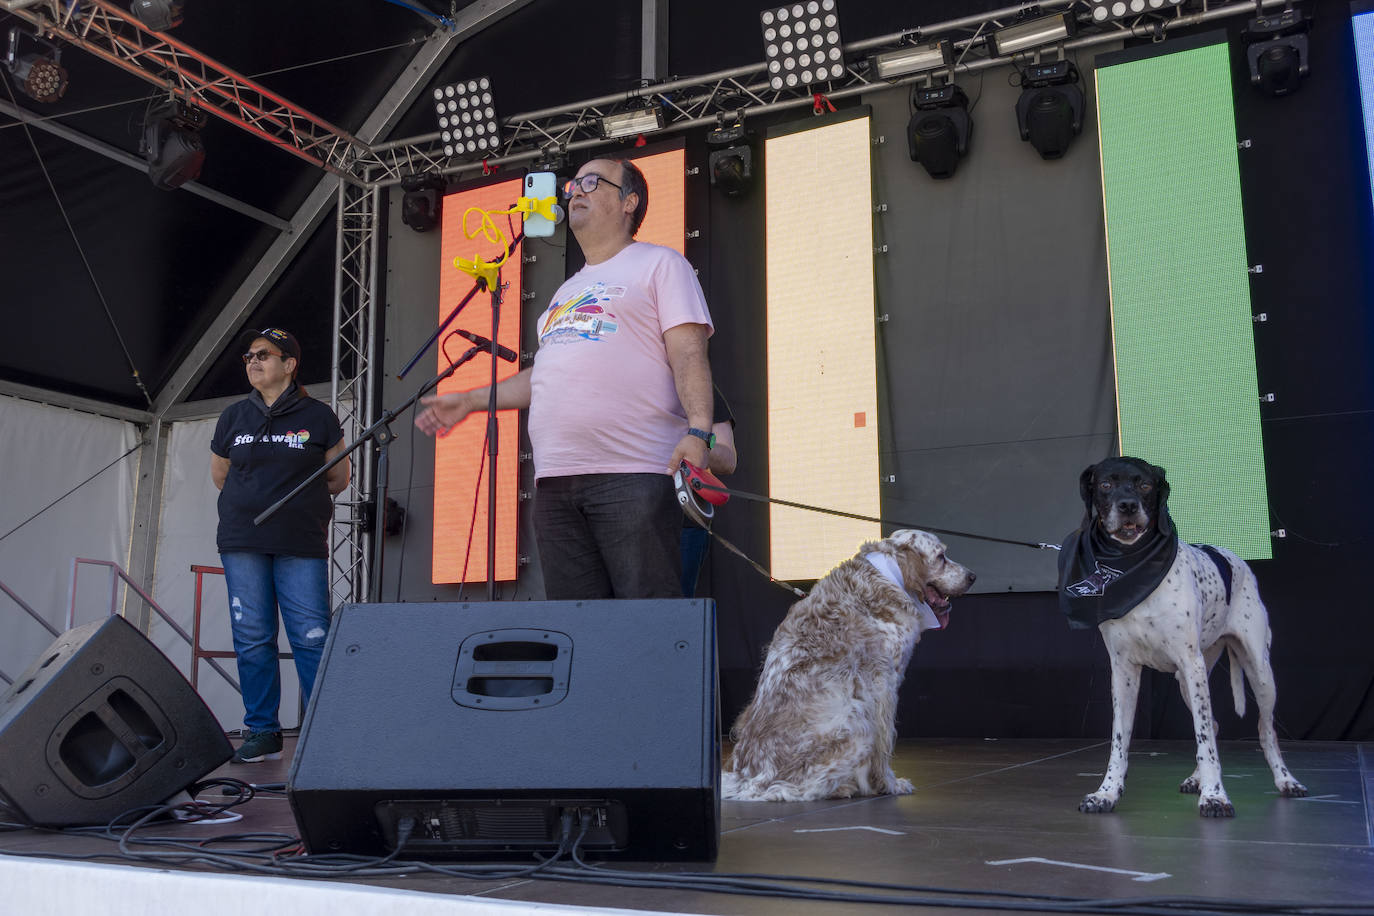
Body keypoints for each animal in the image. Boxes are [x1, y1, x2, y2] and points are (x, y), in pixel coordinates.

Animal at [719, 530, 978, 802]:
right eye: (941, 556)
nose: (973, 576)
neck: (889, 576)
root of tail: (746, 778)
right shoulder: (883, 686)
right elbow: (884, 745)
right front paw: (889, 784)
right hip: (856, 722)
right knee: (789, 790)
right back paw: (841, 788)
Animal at [1060, 458, 1308, 818]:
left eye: (1145, 485)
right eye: (1105, 485)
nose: (1128, 506)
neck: (1134, 569)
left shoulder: (1192, 666)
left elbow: (1204, 738)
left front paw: (1215, 796)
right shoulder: (1124, 672)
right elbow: (1119, 741)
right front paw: (1106, 792)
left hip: (1258, 672)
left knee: (1265, 731)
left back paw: (1285, 780)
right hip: (1185, 681)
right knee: (1216, 726)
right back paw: (1196, 779)